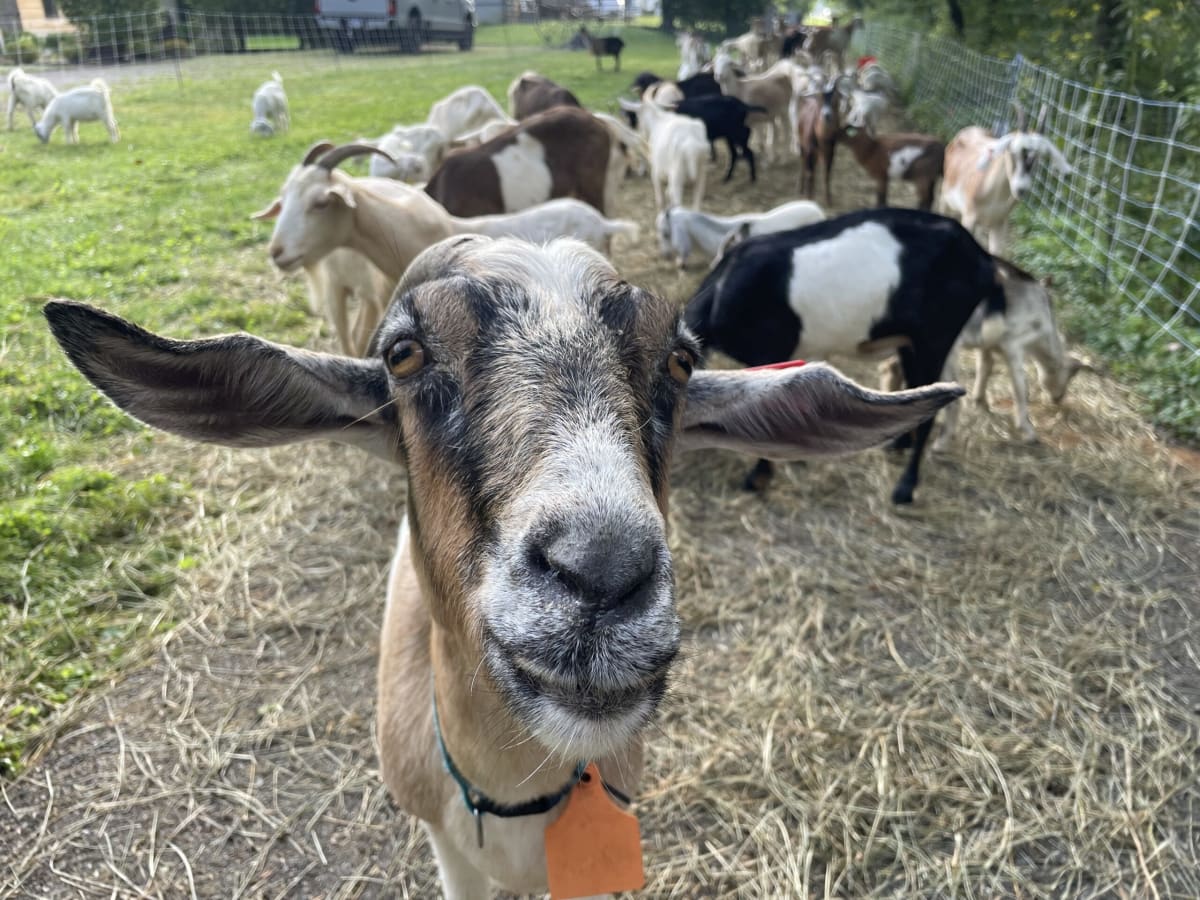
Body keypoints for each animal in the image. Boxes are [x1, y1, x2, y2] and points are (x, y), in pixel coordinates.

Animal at [685, 207, 1003, 504]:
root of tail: (982, 257)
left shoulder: (771, 350)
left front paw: (758, 477)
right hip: (910, 341)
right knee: (919, 388)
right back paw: (898, 443)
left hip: (936, 337)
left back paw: (905, 488)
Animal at [879, 258, 1089, 447]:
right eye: (1069, 376)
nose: (1058, 398)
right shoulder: (1012, 343)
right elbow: (1020, 387)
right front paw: (1029, 433)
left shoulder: (988, 343)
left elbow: (986, 366)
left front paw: (980, 402)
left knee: (890, 366)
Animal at [941, 107, 1072, 253]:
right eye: (1013, 152)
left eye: (1038, 156)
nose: (1020, 189)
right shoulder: (969, 219)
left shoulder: (999, 223)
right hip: (946, 199)